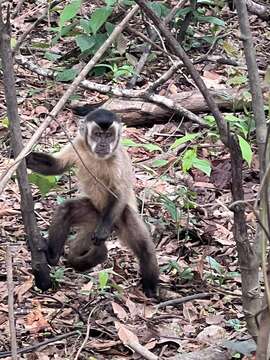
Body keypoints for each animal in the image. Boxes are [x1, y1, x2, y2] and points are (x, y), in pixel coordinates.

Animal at [25, 107, 158, 298]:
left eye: (109, 135)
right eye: (97, 134)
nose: (103, 144)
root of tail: (108, 224)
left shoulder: (117, 158)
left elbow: (120, 193)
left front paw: (102, 233)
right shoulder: (78, 144)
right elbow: (56, 166)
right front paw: (24, 158)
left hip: (116, 217)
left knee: (144, 247)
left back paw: (151, 287)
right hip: (93, 214)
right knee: (66, 210)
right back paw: (52, 256)